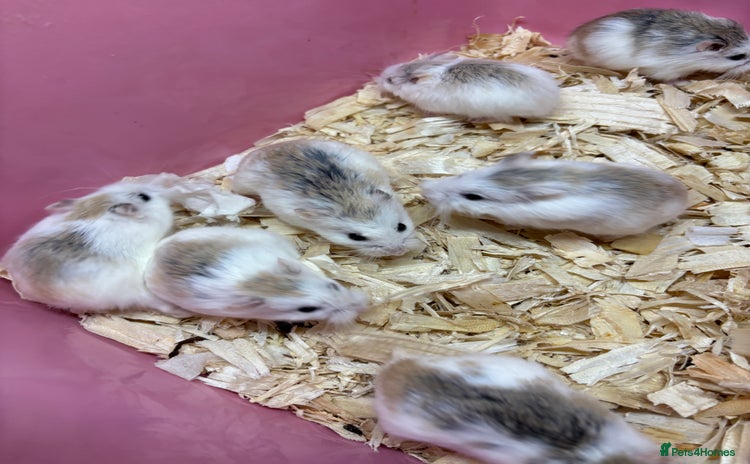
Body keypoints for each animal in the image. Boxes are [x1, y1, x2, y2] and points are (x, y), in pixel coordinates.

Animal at [230, 139, 419, 257]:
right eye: (355, 237)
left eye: (401, 226)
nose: (398, 252)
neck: (347, 197)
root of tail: (262, 149)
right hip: (243, 183)